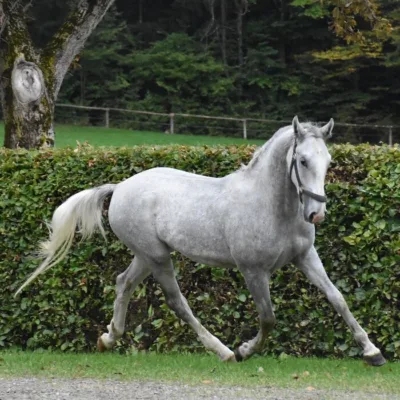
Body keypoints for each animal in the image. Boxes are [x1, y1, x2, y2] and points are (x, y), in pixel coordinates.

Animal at [16, 115, 388, 366]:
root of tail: (120, 187)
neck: (272, 206)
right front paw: (245, 350)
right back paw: (223, 351)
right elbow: (268, 318)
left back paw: (109, 339)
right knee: (177, 302)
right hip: (158, 258)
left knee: (123, 283)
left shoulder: (306, 257)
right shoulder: (253, 271)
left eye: (329, 161)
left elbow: (338, 298)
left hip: (146, 255)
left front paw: (373, 352)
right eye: (302, 160)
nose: (316, 215)